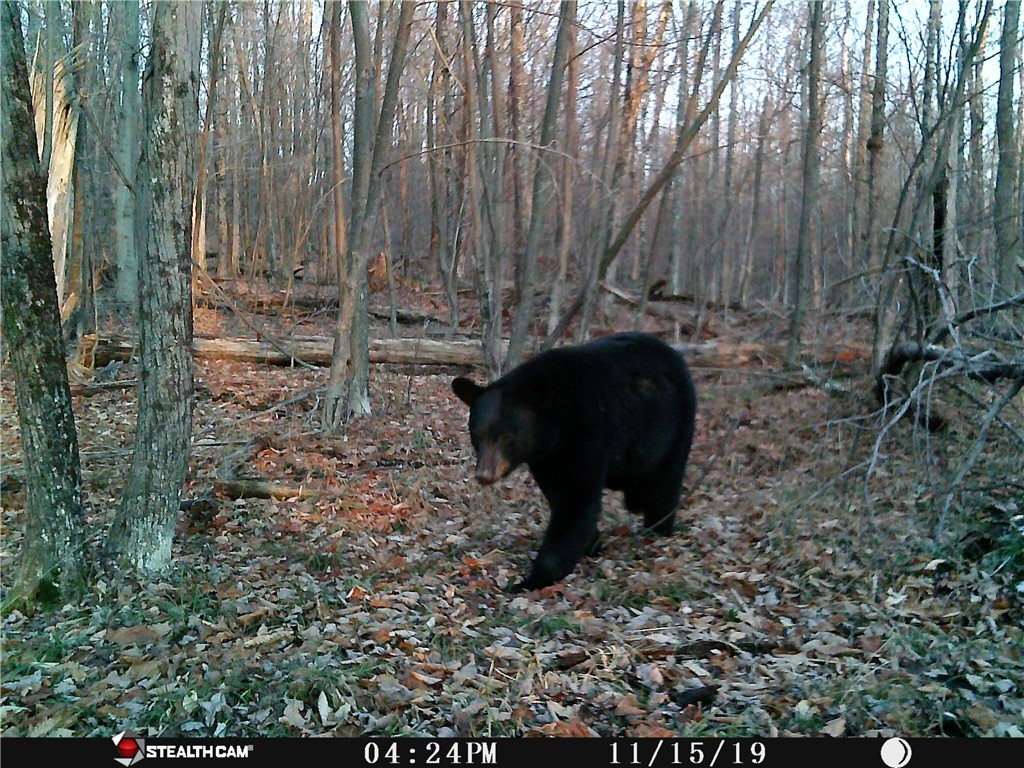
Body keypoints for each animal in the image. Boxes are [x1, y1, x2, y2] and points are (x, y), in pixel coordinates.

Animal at [452, 332, 697, 592]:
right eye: (477, 434)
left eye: (506, 437)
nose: (484, 475)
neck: (555, 422)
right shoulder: (546, 457)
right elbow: (559, 495)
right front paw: (592, 545)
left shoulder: (586, 431)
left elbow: (576, 499)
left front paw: (531, 580)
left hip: (675, 428)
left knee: (664, 483)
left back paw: (659, 527)